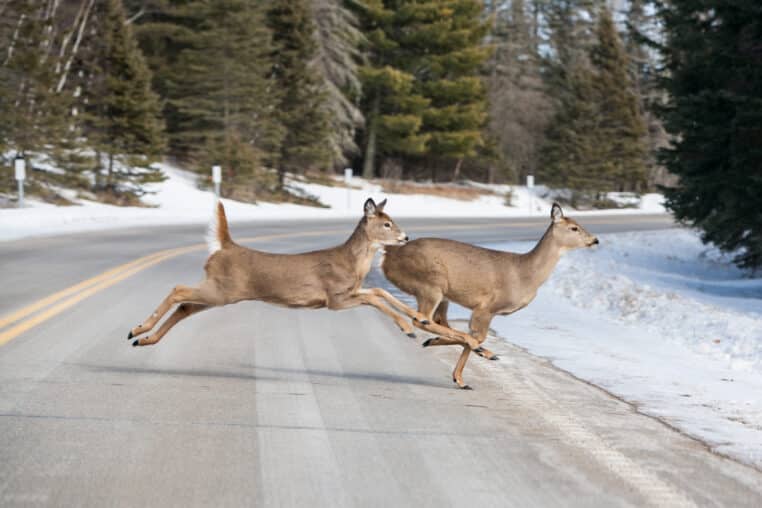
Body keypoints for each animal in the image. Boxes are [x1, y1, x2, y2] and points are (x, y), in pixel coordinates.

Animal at [128, 198, 480, 350]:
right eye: (387, 223)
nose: (406, 237)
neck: (350, 263)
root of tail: (226, 246)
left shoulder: (348, 293)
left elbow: (378, 292)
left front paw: (416, 320)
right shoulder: (335, 299)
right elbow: (376, 298)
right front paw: (407, 327)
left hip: (219, 292)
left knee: (185, 306)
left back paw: (144, 340)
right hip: (222, 290)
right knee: (177, 289)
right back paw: (137, 329)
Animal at [381, 203, 599, 389]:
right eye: (574, 228)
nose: (595, 240)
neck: (526, 274)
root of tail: (388, 256)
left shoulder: (486, 311)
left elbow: (476, 336)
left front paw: (459, 378)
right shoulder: (486, 308)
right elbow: (480, 336)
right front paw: (463, 372)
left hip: (442, 295)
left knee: (437, 320)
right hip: (431, 284)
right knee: (422, 319)